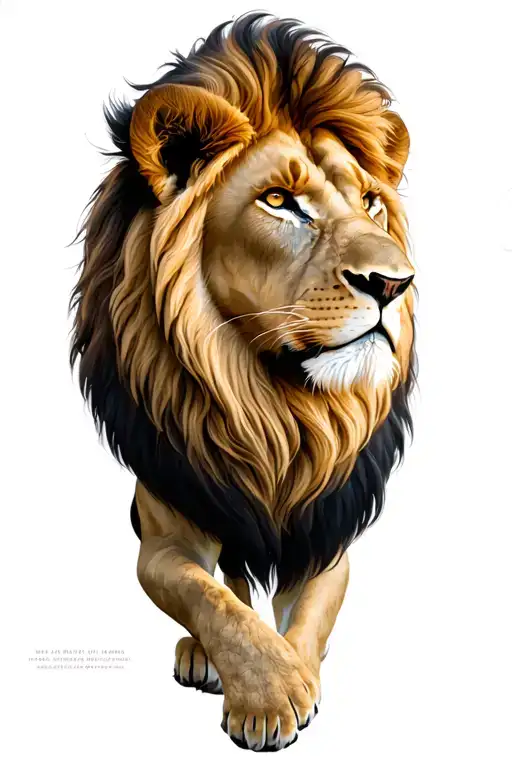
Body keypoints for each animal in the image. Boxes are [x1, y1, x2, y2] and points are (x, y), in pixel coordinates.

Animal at [70, 11, 416, 752]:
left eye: (371, 204)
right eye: (279, 201)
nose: (394, 283)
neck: (275, 407)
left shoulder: (327, 535)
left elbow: (306, 618)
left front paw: (295, 675)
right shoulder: (165, 530)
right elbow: (209, 597)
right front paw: (269, 692)